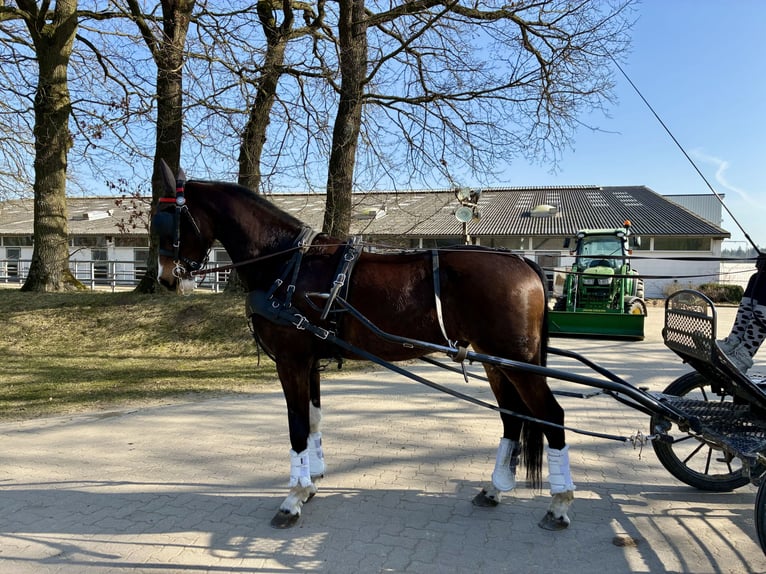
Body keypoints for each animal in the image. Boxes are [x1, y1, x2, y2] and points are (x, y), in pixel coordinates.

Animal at [152, 163, 575, 530]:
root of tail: (521, 260)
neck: (288, 264)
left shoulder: (291, 360)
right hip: (495, 360)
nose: (165, 279)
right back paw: (494, 489)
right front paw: (310, 484)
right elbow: (313, 421)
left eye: (167, 221)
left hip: (516, 361)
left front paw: (292, 500)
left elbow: (296, 426)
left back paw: (559, 504)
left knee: (550, 416)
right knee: (513, 418)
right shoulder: (311, 361)